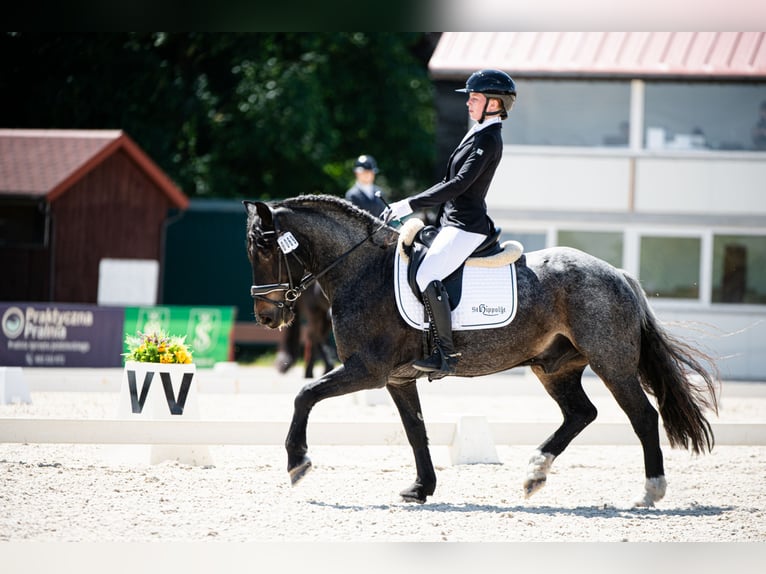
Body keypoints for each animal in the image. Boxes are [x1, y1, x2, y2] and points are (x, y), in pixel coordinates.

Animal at [244, 195, 720, 508]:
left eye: (264, 246)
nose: (266, 316)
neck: (361, 270)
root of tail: (617, 273)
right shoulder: (397, 378)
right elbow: (415, 432)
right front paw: (421, 489)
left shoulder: (367, 370)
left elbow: (304, 395)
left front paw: (298, 462)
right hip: (554, 367)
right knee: (581, 414)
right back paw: (534, 474)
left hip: (611, 363)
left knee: (642, 416)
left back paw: (649, 491)